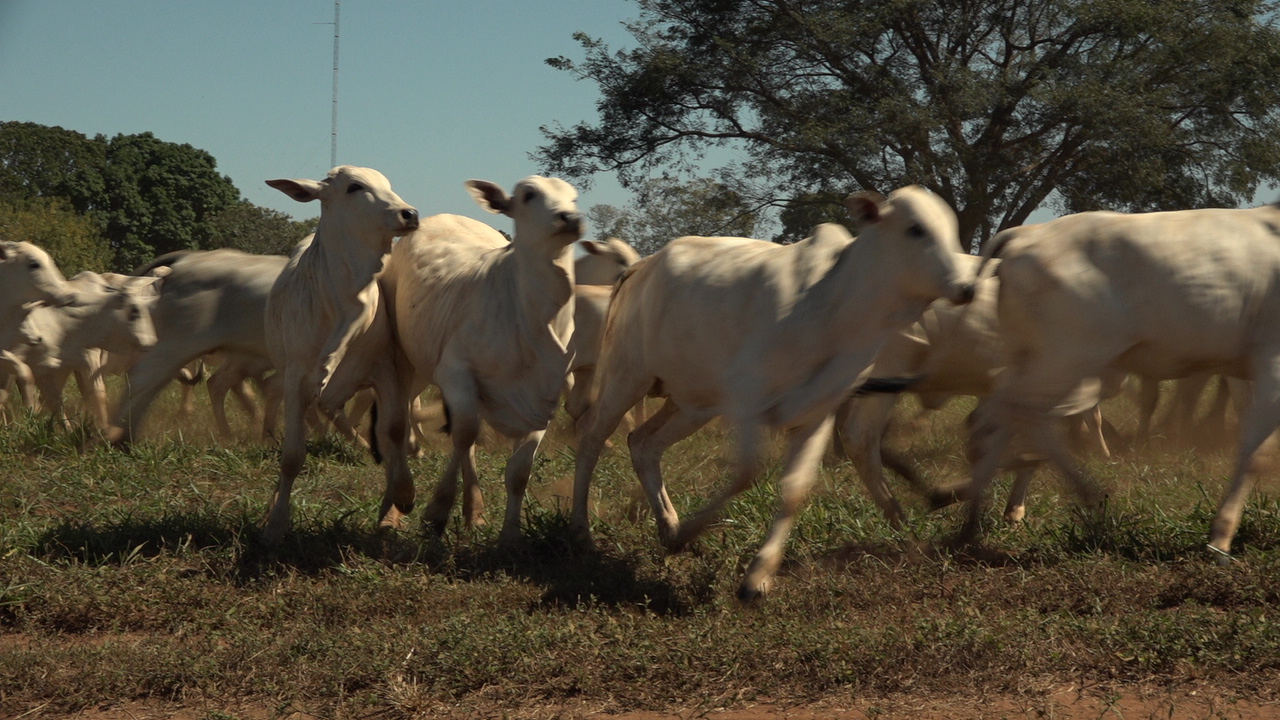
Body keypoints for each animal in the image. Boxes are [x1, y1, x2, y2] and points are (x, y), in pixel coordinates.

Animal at [259, 165, 419, 540]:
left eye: (387, 184)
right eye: (354, 187)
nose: (409, 214)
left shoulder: (385, 371)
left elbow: (393, 433)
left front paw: (402, 498)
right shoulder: (296, 379)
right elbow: (292, 456)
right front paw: (276, 522)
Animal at [376, 176, 583, 540]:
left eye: (574, 197)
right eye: (529, 195)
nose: (570, 218)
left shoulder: (543, 400)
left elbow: (518, 471)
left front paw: (509, 534)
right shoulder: (455, 373)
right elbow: (464, 434)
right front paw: (437, 511)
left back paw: (474, 511)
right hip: (405, 361)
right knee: (395, 428)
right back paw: (393, 509)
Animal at [568, 185, 967, 599]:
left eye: (950, 228)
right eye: (915, 229)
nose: (966, 287)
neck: (835, 309)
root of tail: (640, 267)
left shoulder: (816, 414)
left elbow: (793, 489)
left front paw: (756, 575)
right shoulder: (748, 404)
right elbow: (748, 472)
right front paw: (699, 532)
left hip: (692, 404)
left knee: (644, 444)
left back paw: (669, 525)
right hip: (626, 377)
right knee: (592, 437)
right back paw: (582, 530)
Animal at [967, 204, 1280, 558]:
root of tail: (1025, 234)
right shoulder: (1272, 361)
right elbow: (1256, 452)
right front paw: (1220, 537)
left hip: (1037, 360)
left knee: (1004, 418)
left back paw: (979, 522)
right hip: (1066, 357)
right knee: (1014, 415)